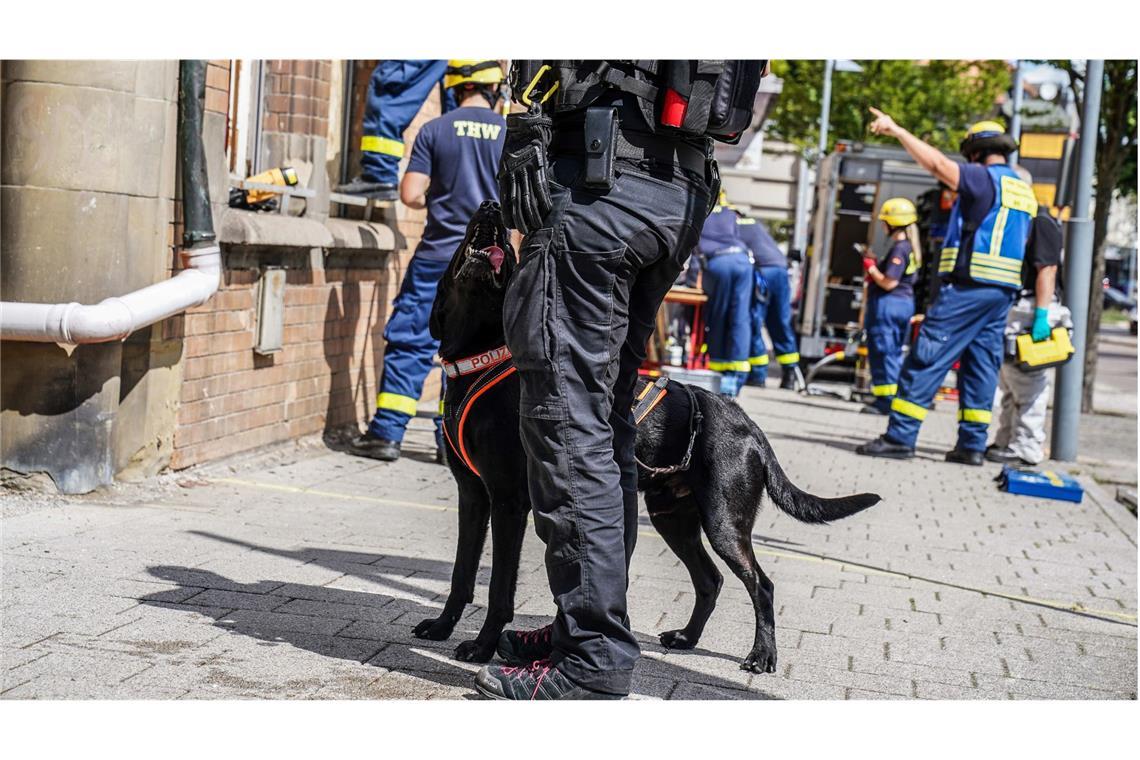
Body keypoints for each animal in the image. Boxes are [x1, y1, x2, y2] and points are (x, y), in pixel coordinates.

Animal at [412, 200, 880, 669]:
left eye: (509, 255)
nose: (491, 205)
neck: (482, 359)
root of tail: (745, 421)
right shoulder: (473, 495)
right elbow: (461, 573)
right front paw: (441, 627)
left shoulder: (509, 501)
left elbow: (498, 587)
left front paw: (482, 646)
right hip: (672, 516)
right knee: (710, 580)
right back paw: (687, 638)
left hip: (723, 522)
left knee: (760, 584)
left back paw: (762, 655)